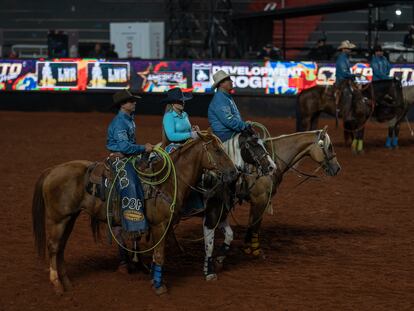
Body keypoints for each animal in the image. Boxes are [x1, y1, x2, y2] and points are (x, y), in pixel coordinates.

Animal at [32, 130, 238, 296]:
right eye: (217, 150)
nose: (234, 172)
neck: (169, 181)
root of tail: (52, 170)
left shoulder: (163, 226)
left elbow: (156, 254)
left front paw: (154, 279)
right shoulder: (160, 225)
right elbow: (159, 255)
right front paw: (159, 287)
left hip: (70, 218)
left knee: (61, 248)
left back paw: (67, 282)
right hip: (58, 219)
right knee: (53, 247)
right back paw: (57, 285)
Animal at [202, 127, 342, 280]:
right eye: (329, 146)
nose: (337, 168)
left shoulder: (258, 201)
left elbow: (252, 223)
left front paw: (247, 247)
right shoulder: (260, 199)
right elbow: (256, 225)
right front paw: (256, 251)